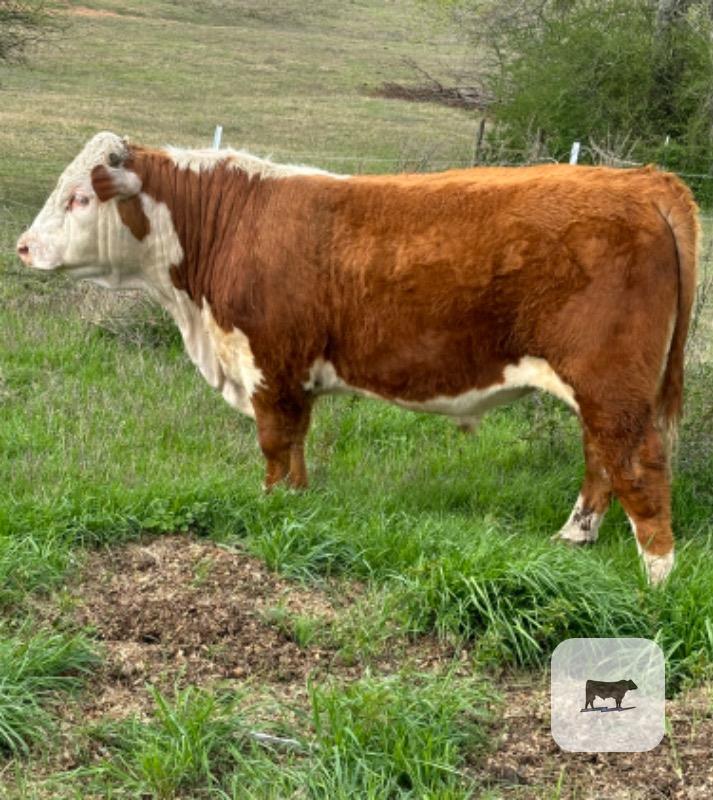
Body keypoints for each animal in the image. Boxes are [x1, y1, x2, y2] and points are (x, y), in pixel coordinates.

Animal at [17, 132, 699, 585]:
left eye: (79, 198)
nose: (22, 246)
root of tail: (638, 180)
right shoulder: (292, 377)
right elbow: (295, 446)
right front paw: (296, 507)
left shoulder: (268, 364)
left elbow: (274, 444)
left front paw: (271, 509)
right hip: (603, 388)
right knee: (600, 457)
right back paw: (573, 537)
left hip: (613, 382)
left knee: (638, 464)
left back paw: (657, 579)